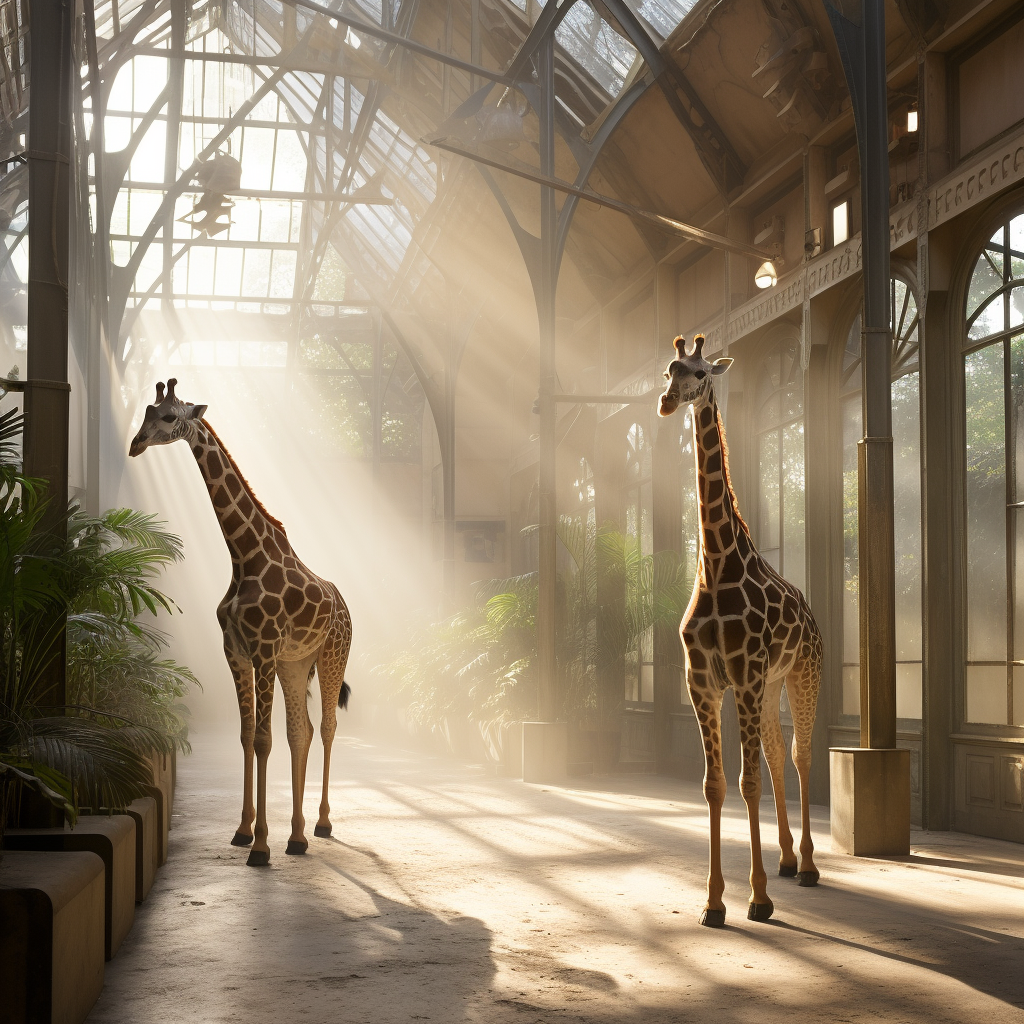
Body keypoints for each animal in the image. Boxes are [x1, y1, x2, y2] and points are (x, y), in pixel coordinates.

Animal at [128, 380, 354, 868]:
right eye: (147, 411)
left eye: (170, 417)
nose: (135, 444)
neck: (244, 555)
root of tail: (344, 605)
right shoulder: (235, 651)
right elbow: (249, 735)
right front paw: (245, 831)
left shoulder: (263, 649)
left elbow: (265, 739)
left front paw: (262, 847)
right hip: (295, 664)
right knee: (301, 731)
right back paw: (297, 835)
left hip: (332, 656)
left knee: (326, 727)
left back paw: (321, 824)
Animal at [655, 335, 823, 929]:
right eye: (669, 369)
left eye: (702, 372)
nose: (667, 401)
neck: (717, 565)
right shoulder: (703, 682)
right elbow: (715, 785)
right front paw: (712, 902)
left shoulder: (744, 676)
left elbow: (748, 782)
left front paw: (757, 898)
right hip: (770, 686)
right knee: (774, 753)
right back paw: (789, 859)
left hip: (801, 673)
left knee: (798, 755)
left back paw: (809, 867)